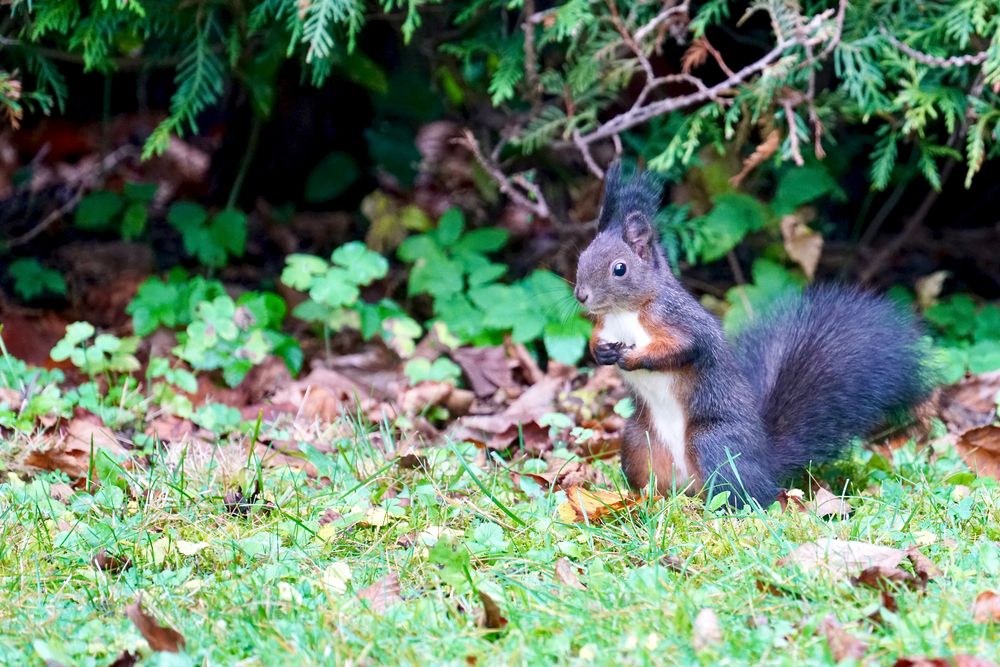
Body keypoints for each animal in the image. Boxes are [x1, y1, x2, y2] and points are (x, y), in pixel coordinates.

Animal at [576, 163, 932, 506]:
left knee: (746, 495)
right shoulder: (606, 325)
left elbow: (683, 348)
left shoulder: (680, 320)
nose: (581, 295)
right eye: (581, 257)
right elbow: (597, 338)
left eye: (619, 268)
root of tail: (764, 463)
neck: (624, 313)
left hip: (714, 443)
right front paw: (600, 352)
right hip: (638, 441)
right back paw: (644, 499)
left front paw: (634, 358)